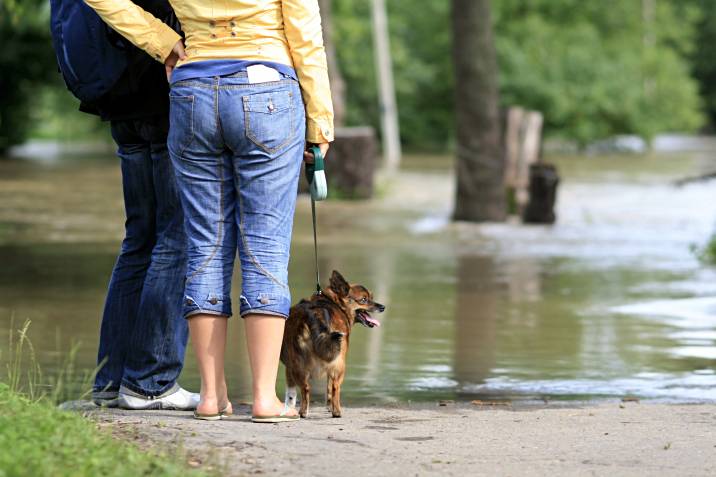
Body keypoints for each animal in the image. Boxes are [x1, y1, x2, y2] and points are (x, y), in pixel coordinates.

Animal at [282, 272, 386, 416]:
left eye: (371, 297)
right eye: (364, 299)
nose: (382, 307)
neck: (335, 303)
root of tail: (314, 315)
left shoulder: (289, 366)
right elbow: (330, 387)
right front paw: (330, 407)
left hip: (297, 363)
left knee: (305, 387)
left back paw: (303, 412)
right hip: (340, 364)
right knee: (336, 387)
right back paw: (337, 412)